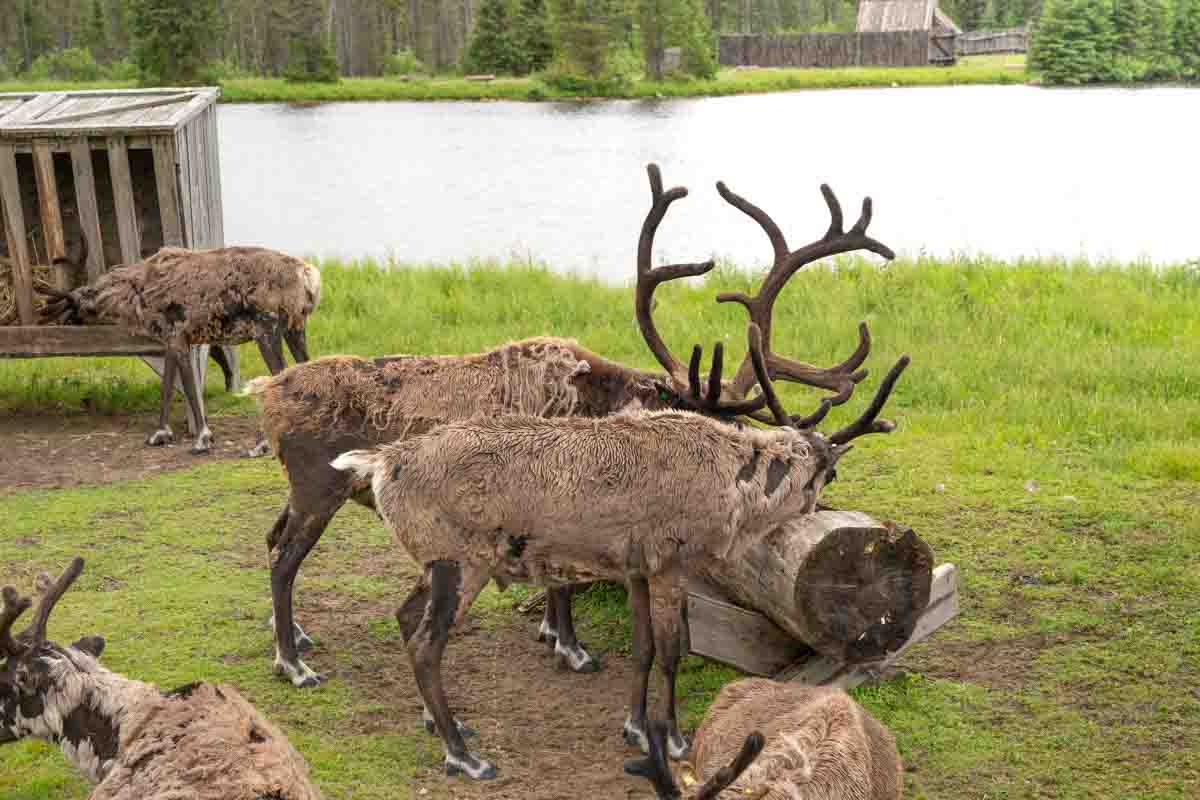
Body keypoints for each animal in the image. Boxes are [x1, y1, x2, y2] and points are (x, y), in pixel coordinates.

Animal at [39, 244, 321, 455]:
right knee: (305, 367)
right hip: (296, 328)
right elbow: (166, 386)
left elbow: (188, 387)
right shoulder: (170, 342)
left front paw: (202, 439)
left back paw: (260, 444)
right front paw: (160, 433)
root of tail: (309, 276)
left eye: (72, 303)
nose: (55, 321)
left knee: (279, 375)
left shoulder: (179, 336)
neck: (136, 294)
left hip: (267, 330)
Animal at [242, 164, 896, 703]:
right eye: (719, 424)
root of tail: (265, 391)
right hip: (318, 490)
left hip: (300, 491)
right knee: (283, 558)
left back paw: (293, 635)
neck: (599, 401)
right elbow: (564, 589)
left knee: (271, 539)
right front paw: (570, 646)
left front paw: (553, 634)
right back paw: (292, 663)